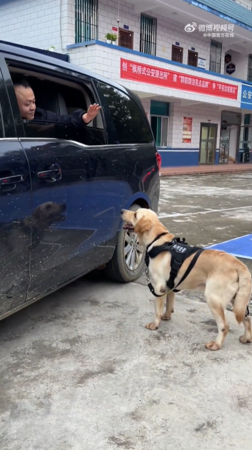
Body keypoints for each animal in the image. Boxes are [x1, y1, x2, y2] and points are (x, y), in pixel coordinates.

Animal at [121, 207, 252, 352]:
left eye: (135, 214)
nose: (122, 210)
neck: (158, 240)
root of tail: (239, 264)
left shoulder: (159, 288)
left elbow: (157, 310)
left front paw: (155, 324)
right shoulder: (169, 286)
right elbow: (169, 304)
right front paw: (167, 316)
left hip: (213, 299)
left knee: (224, 326)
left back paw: (216, 344)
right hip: (238, 300)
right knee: (247, 319)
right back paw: (247, 338)